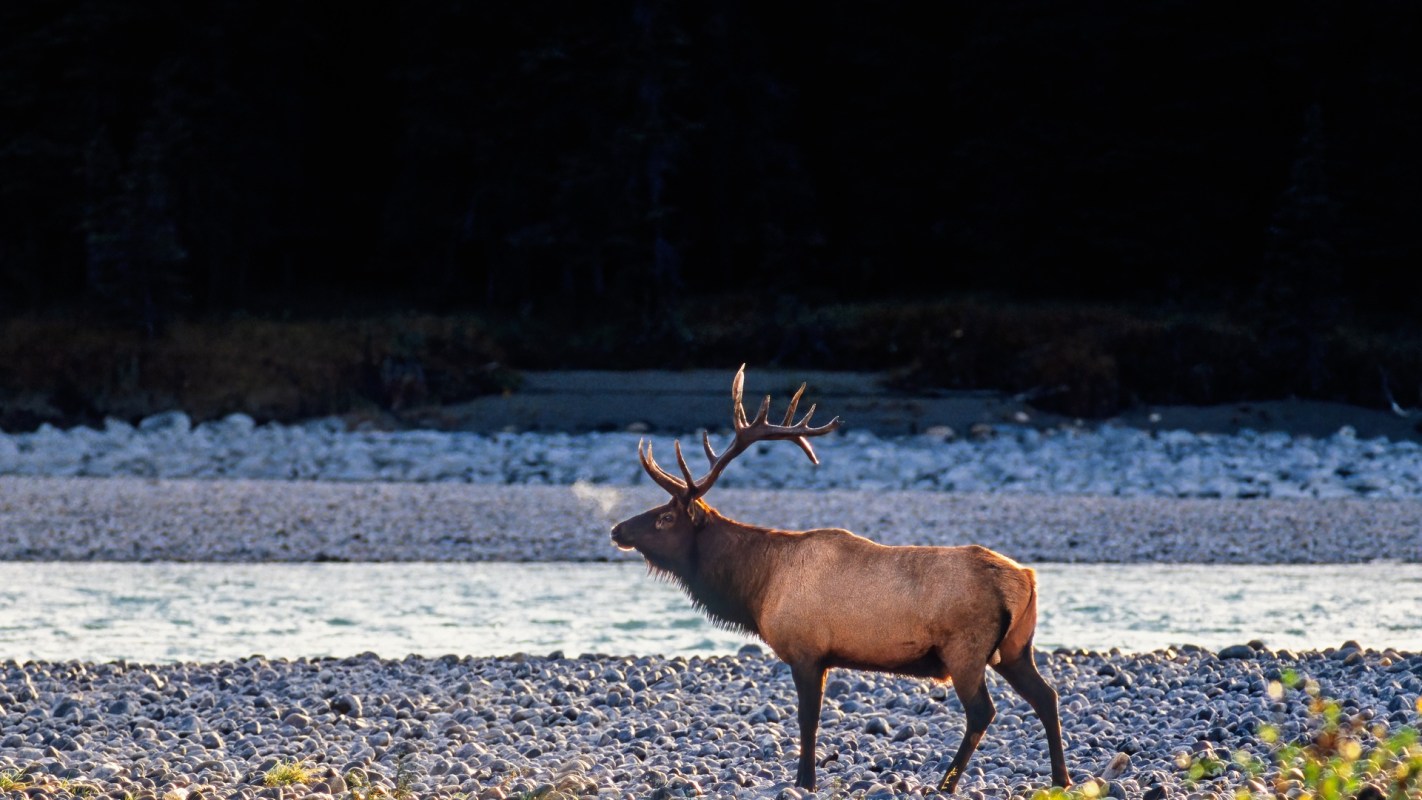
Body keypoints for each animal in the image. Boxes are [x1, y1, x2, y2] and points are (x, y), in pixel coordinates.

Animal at [609, 365, 1071, 794]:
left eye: (665, 517)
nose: (617, 530)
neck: (758, 587)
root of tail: (1026, 581)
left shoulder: (806, 649)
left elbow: (808, 719)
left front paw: (805, 781)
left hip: (965, 648)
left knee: (982, 711)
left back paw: (946, 783)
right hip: (1016, 648)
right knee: (1046, 696)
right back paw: (1061, 779)